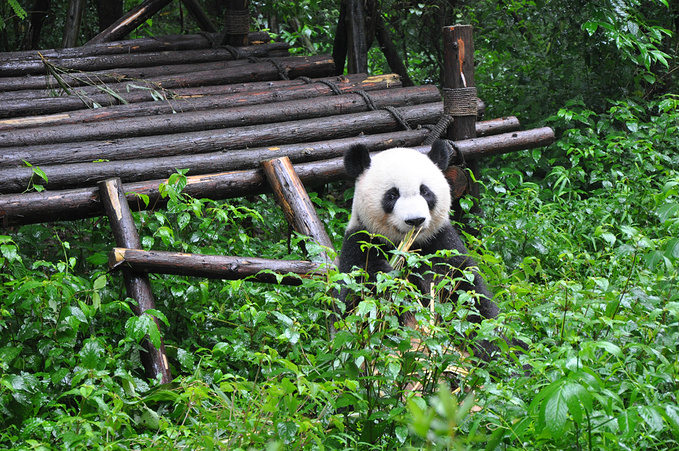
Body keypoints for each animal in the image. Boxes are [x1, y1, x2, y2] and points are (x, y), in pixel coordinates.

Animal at [338, 139, 502, 358]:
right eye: (392, 195)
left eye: (425, 191)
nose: (415, 220)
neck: (408, 247)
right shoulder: (361, 242)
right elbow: (359, 303)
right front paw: (388, 277)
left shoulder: (441, 243)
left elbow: (469, 295)